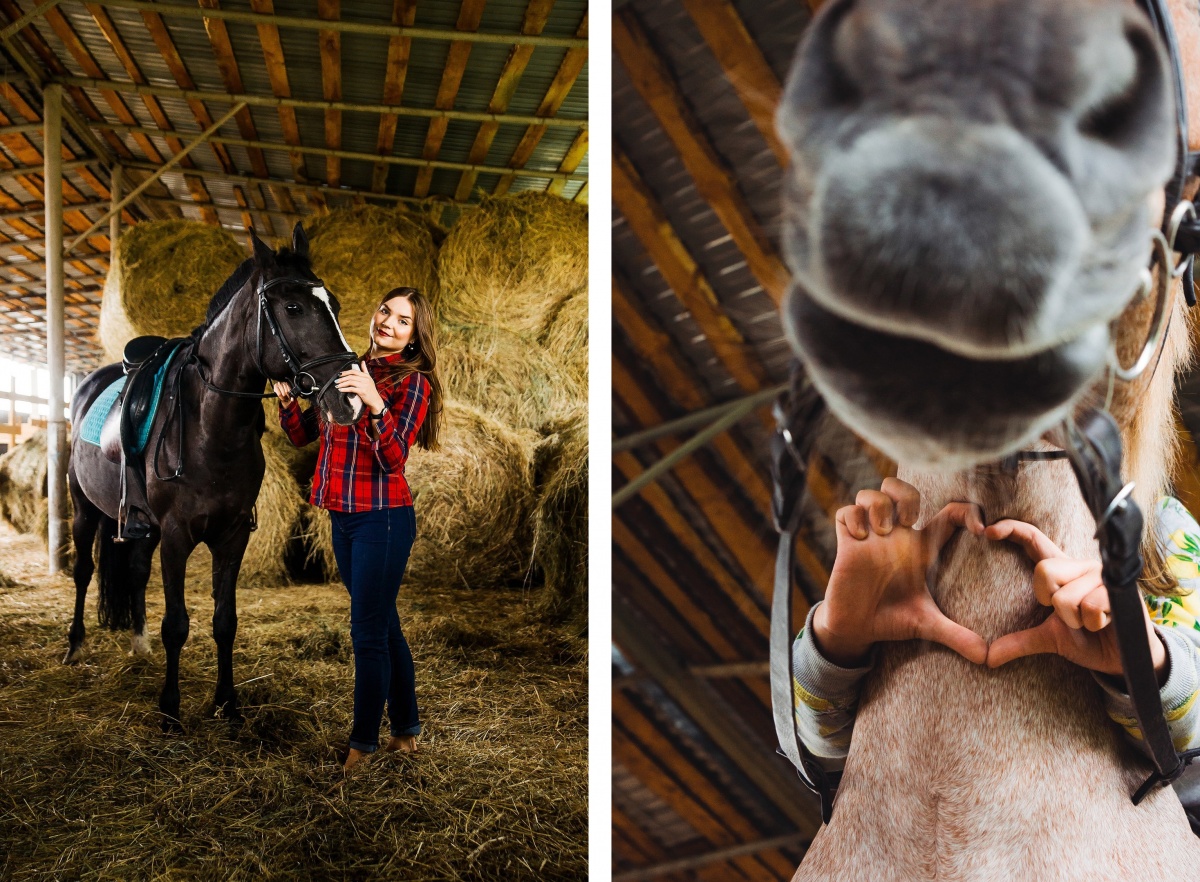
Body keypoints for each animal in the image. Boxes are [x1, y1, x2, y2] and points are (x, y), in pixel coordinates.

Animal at [66, 225, 355, 729]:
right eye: (293, 308)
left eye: (333, 304)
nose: (349, 399)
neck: (211, 426)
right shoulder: (177, 536)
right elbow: (177, 624)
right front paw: (170, 710)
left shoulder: (232, 536)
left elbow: (225, 621)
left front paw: (227, 703)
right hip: (84, 510)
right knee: (83, 571)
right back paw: (76, 645)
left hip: (141, 527)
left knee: (136, 571)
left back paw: (138, 644)